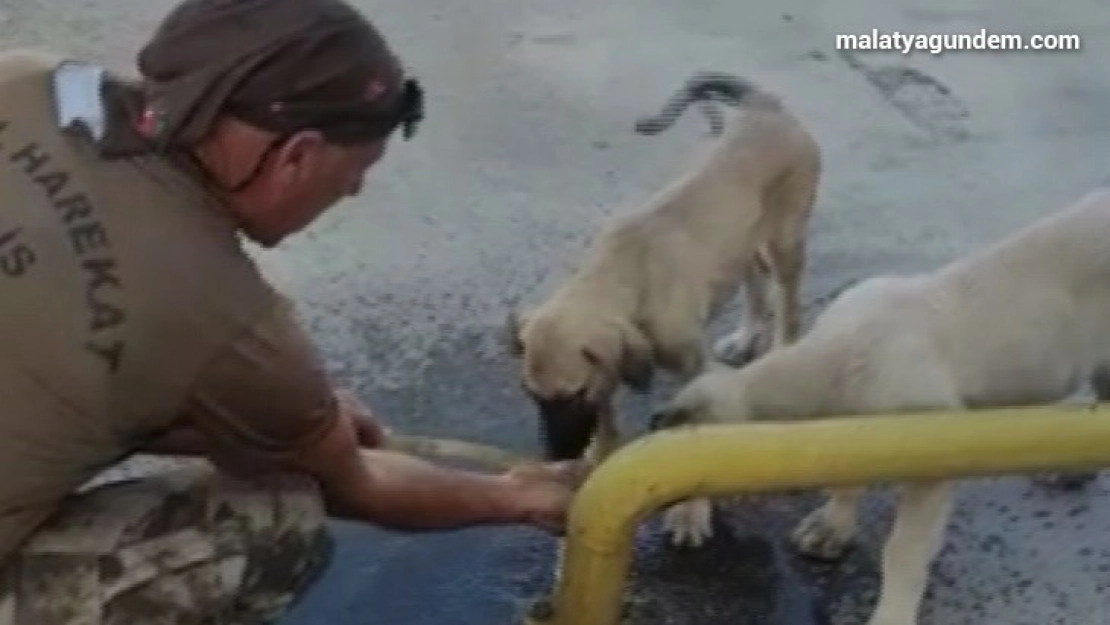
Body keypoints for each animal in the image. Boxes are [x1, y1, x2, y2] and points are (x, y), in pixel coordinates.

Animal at [508, 71, 821, 546]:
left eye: (572, 395)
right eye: (532, 395)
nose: (555, 456)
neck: (629, 272)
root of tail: (765, 106)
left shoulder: (693, 367)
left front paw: (690, 514)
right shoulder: (609, 364)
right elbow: (607, 412)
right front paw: (599, 455)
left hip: (786, 239)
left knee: (788, 302)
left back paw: (783, 346)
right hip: (742, 241)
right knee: (754, 278)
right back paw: (747, 334)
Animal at [652, 187, 1110, 625]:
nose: (677, 524)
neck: (838, 359)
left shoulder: (933, 461)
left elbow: (904, 548)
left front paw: (893, 612)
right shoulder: (857, 432)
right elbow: (848, 480)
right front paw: (834, 525)